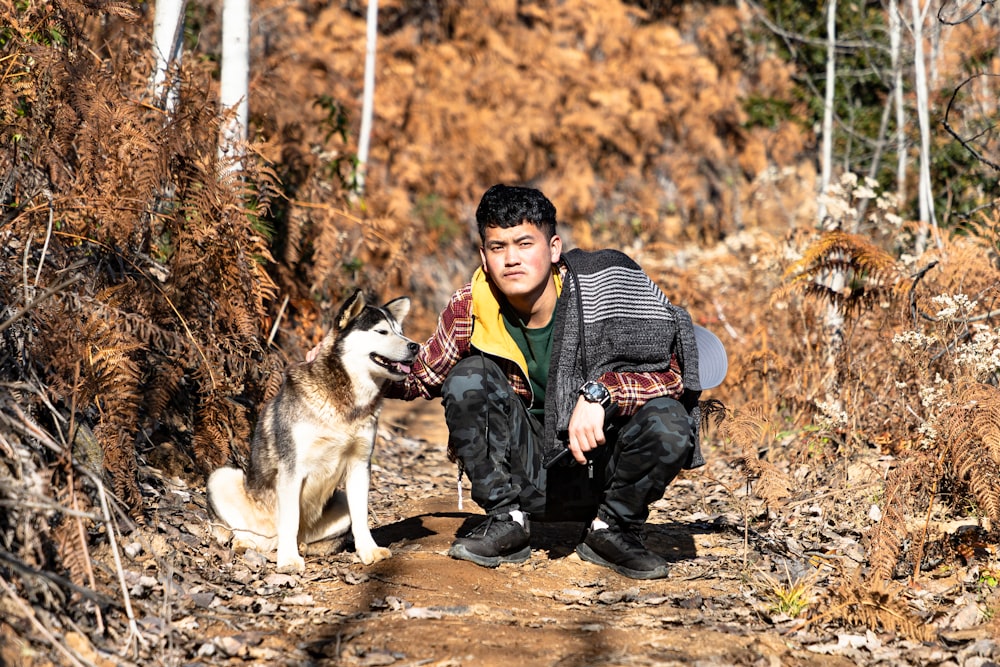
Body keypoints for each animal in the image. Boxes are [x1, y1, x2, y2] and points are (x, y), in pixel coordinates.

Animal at [207, 290, 418, 576]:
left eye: (400, 331)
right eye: (382, 331)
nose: (415, 346)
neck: (344, 404)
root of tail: (269, 540)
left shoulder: (360, 465)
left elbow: (361, 517)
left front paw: (368, 550)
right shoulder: (292, 469)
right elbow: (290, 519)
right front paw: (288, 560)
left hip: (339, 499)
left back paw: (304, 548)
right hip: (222, 478)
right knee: (245, 532)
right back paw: (251, 544)